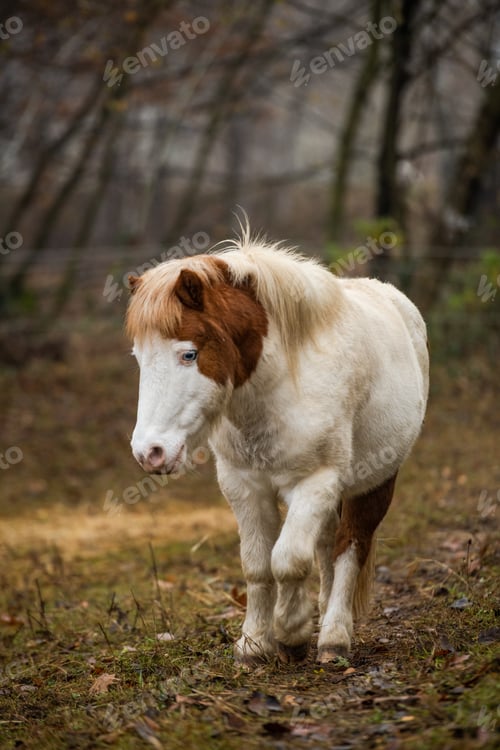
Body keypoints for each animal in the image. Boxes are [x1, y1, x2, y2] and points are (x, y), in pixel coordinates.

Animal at [126, 228, 429, 665]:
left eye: (189, 354)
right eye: (139, 357)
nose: (149, 452)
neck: (282, 386)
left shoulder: (316, 482)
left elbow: (286, 560)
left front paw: (292, 633)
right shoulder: (244, 487)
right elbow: (257, 565)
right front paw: (254, 643)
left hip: (374, 484)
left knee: (349, 546)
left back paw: (334, 636)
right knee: (326, 545)